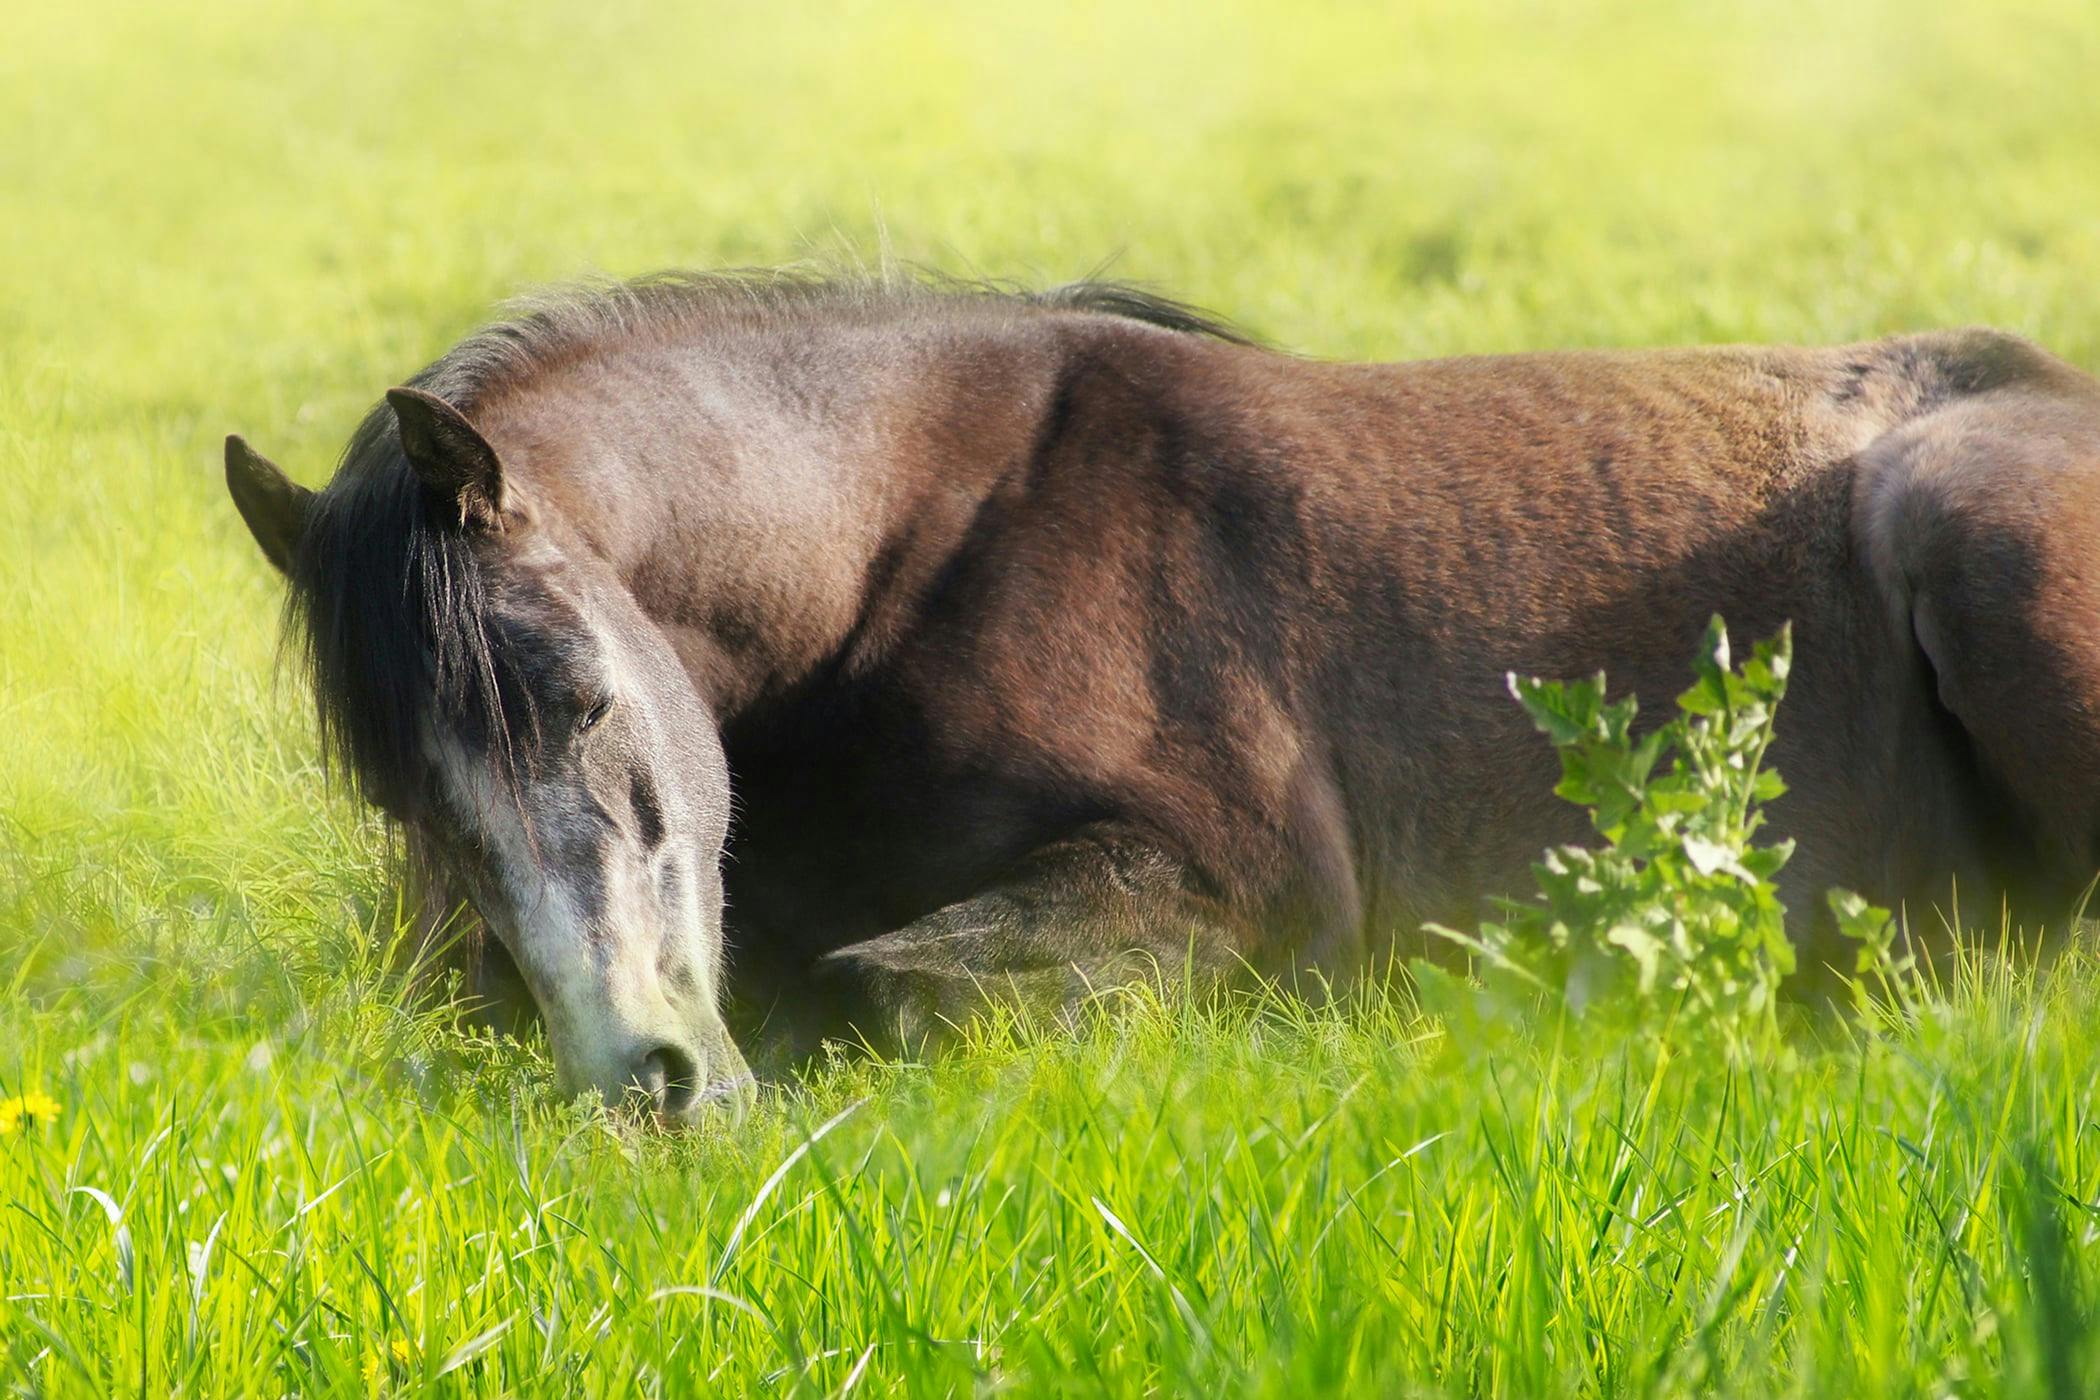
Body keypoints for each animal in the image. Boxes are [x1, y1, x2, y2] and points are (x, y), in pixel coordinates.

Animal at [224, 270, 2100, 1122]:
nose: (647, 1080)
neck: (927, 542)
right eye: (406, 803)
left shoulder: (1243, 890)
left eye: (572, 695)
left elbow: (896, 985)